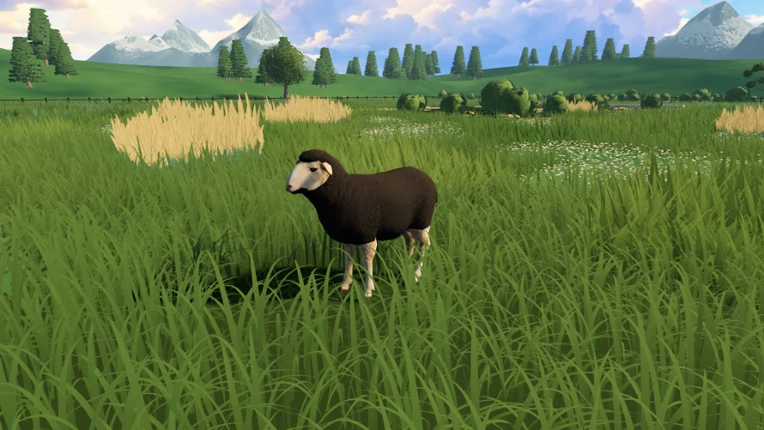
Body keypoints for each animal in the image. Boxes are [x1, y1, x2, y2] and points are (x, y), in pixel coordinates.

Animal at [285, 149, 438, 299]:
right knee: (410, 241)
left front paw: (368, 290)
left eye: (313, 169)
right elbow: (348, 257)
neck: (343, 191)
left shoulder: (366, 233)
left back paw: (416, 274)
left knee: (425, 244)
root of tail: (427, 178)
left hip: (422, 222)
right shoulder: (348, 235)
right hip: (406, 225)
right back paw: (405, 266)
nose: (288, 186)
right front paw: (345, 284)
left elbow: (367, 259)